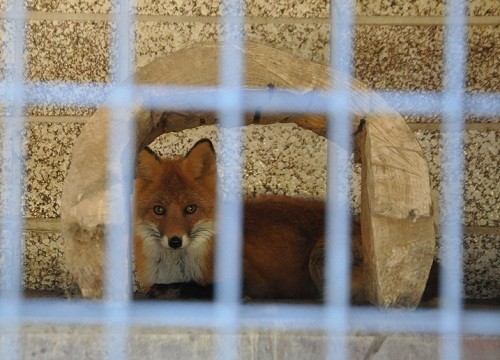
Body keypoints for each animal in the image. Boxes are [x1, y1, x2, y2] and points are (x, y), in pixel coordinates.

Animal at [135, 139, 366, 300]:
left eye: (190, 209)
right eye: (159, 210)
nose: (175, 241)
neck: (175, 269)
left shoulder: (253, 282)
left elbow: (198, 287)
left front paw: (167, 290)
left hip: (319, 260)